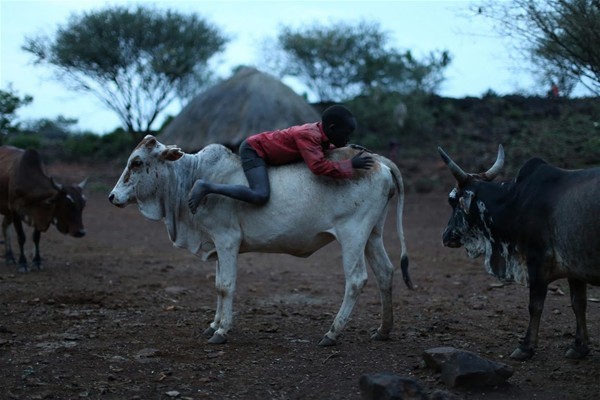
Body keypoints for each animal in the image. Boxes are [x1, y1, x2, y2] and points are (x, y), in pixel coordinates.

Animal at [0, 145, 87, 274]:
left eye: (83, 205)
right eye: (68, 204)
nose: (81, 232)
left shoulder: (40, 215)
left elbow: (36, 238)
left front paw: (37, 261)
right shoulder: (15, 211)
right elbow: (21, 238)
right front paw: (23, 263)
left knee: (5, 226)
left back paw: (9, 257)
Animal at [109, 136, 412, 346]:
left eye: (137, 162)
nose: (112, 197)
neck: (192, 177)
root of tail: (379, 161)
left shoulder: (227, 239)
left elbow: (226, 286)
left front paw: (222, 331)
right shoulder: (217, 244)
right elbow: (218, 285)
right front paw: (213, 324)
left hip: (353, 234)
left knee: (357, 279)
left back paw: (332, 333)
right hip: (372, 234)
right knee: (385, 272)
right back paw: (383, 330)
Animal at [436, 145, 600, 360]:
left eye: (452, 201)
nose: (446, 236)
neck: (515, 201)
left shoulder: (537, 259)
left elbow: (535, 306)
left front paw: (526, 347)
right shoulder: (574, 267)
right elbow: (578, 304)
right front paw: (579, 347)